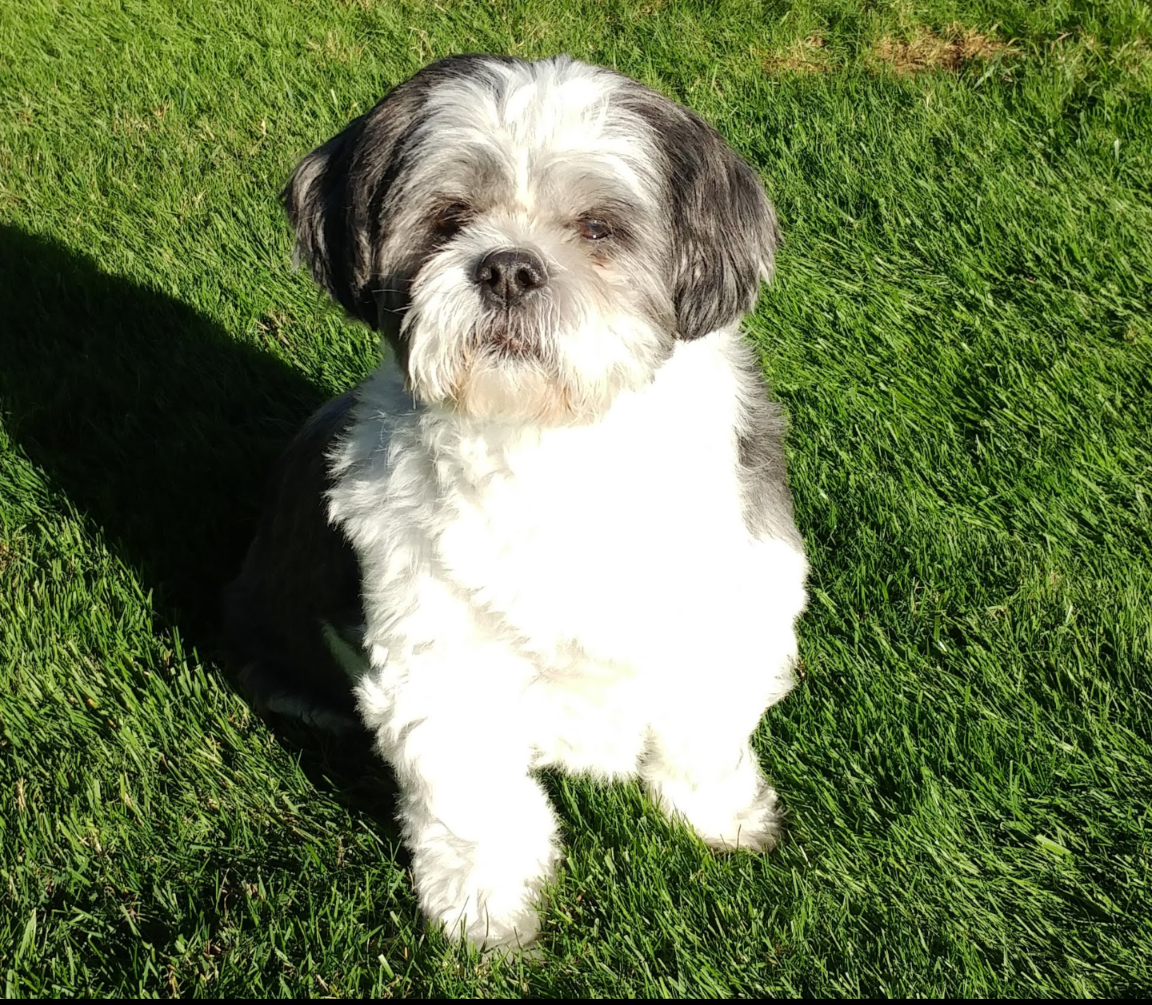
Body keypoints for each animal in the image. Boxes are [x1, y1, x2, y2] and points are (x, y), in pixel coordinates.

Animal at [226, 53, 811, 949]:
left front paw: (720, 819)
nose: (506, 266)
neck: (552, 441)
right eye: (448, 219)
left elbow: (704, 734)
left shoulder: (734, 598)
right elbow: (474, 803)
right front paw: (486, 910)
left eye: (599, 229)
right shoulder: (438, 662)